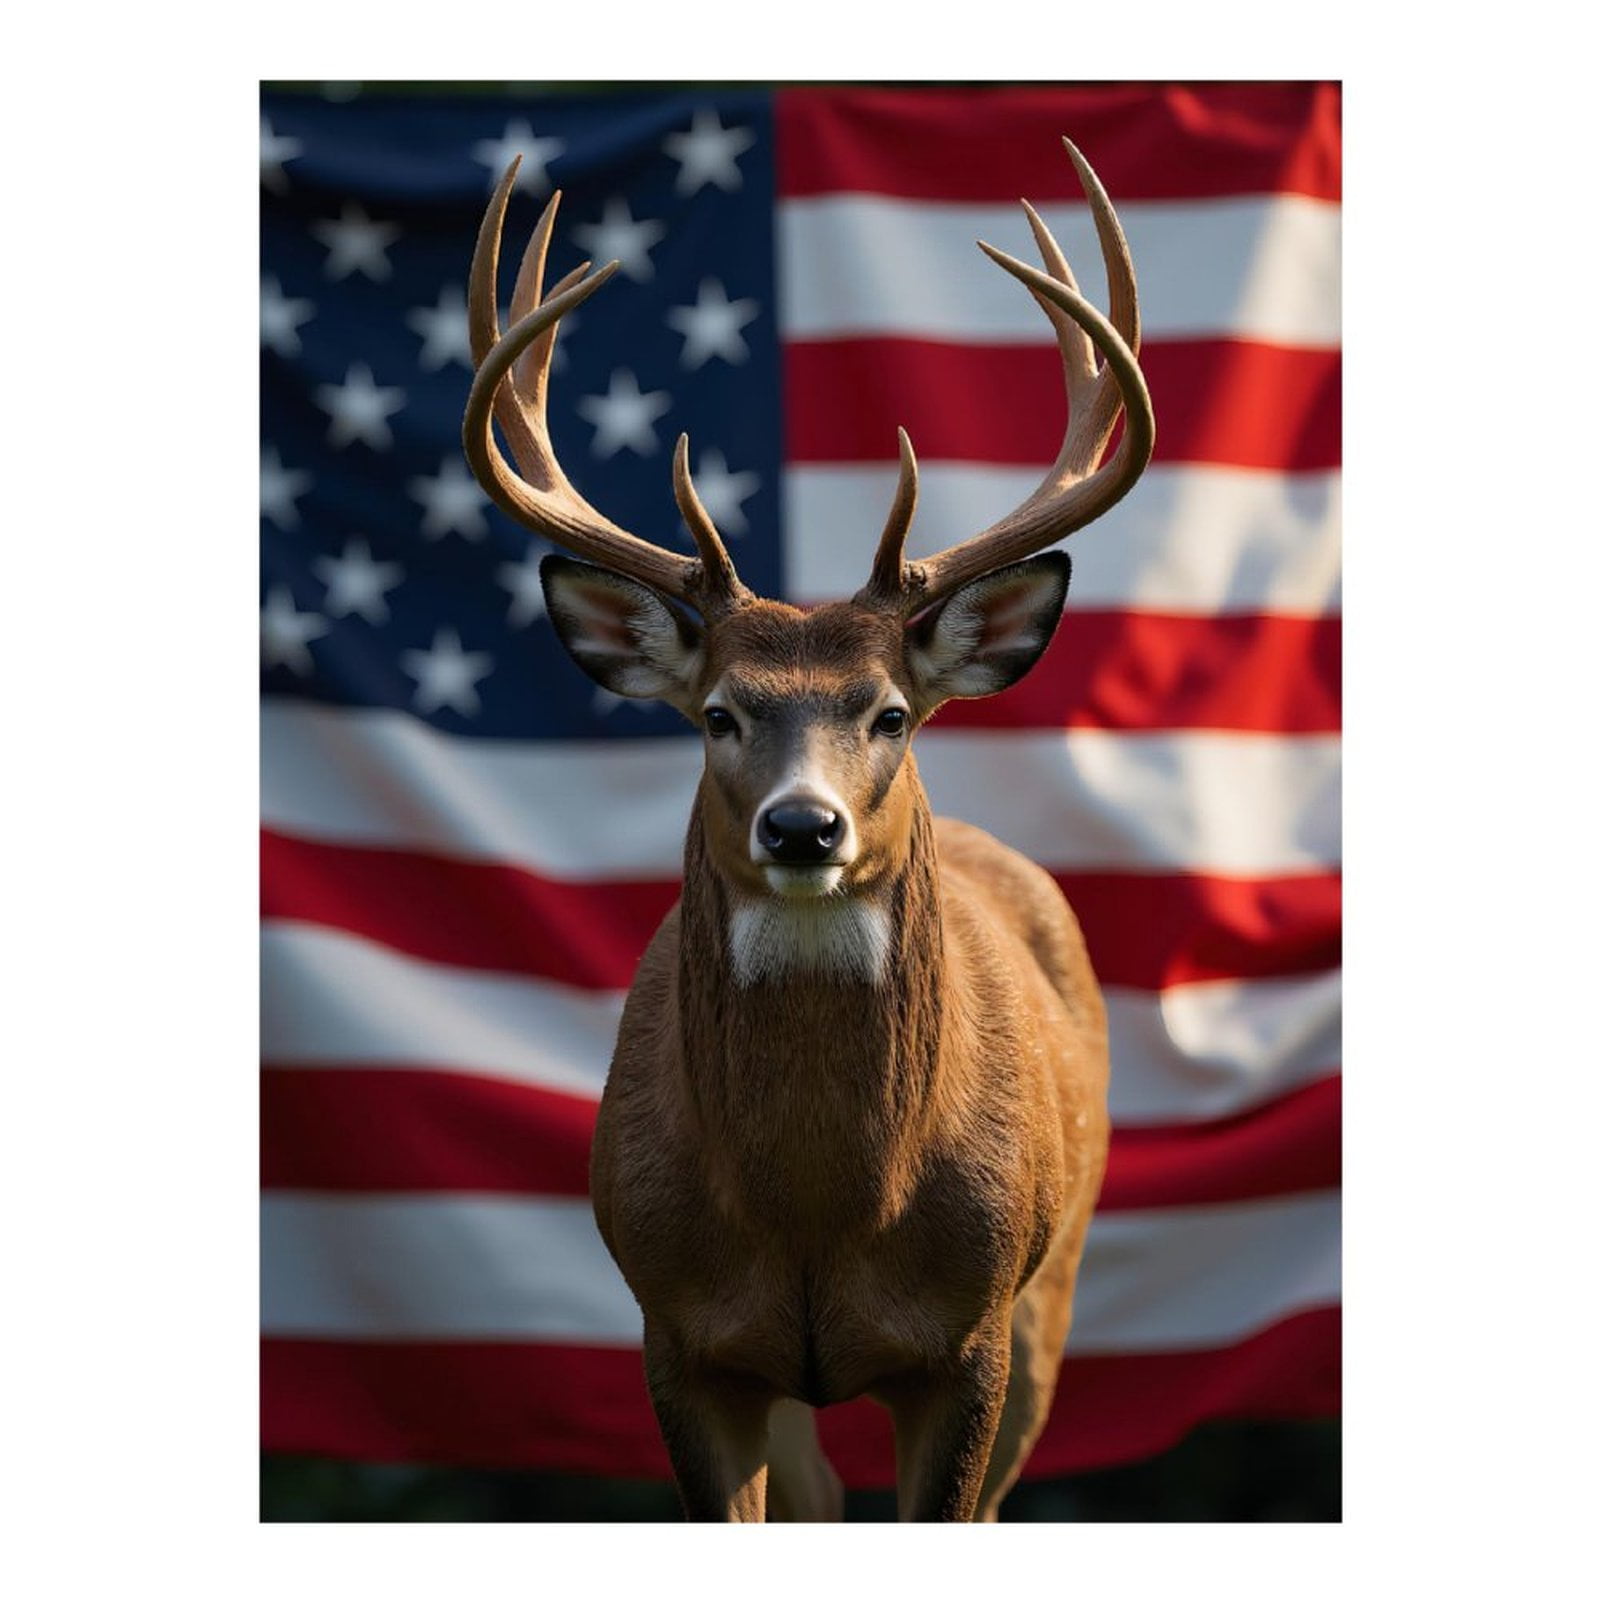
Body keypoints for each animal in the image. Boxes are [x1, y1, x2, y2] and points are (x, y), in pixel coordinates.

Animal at [461, 138, 1154, 1522]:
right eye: (720, 713)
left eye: (888, 711)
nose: (801, 827)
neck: (818, 1209)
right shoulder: (677, 1337)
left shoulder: (971, 1338)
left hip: (1055, 1284)